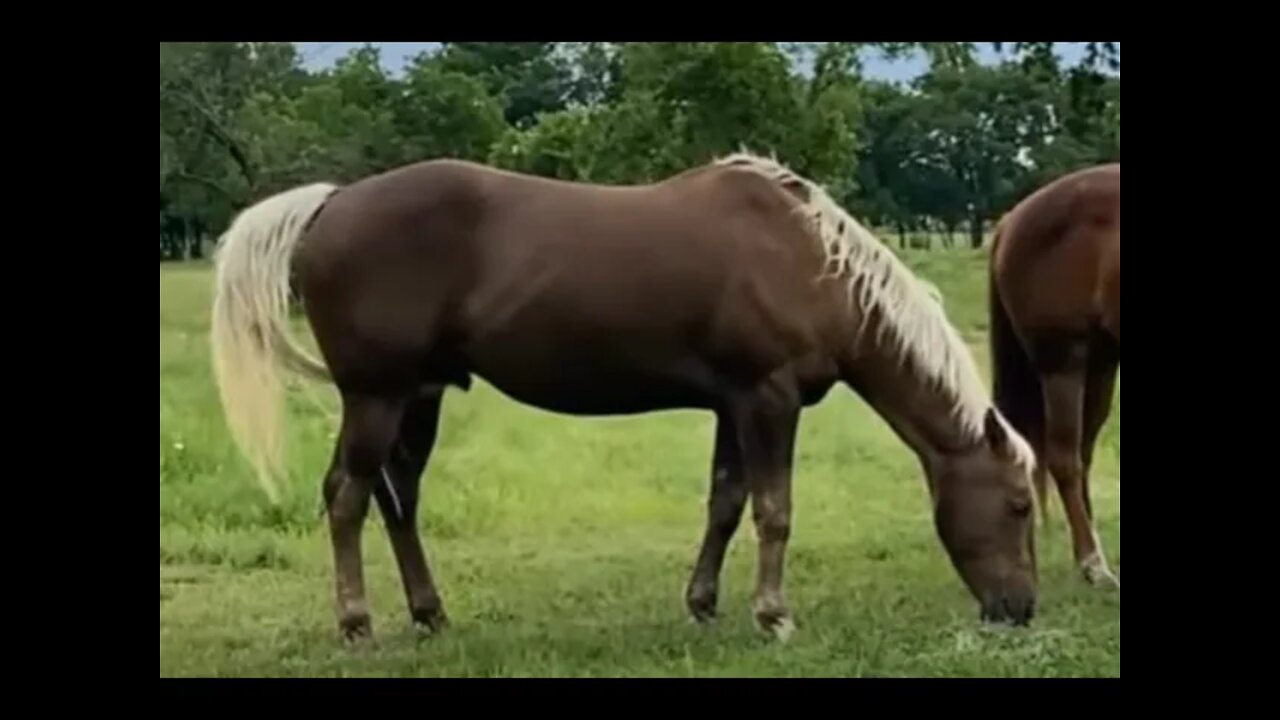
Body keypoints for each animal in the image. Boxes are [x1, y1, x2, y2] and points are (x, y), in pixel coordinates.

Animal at [209, 149, 1044, 638]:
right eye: (1017, 504)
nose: (1021, 609)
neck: (806, 260)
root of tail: (332, 202)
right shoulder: (768, 400)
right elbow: (773, 511)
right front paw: (773, 616)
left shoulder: (733, 406)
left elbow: (726, 503)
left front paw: (704, 605)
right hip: (375, 395)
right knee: (346, 497)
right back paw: (357, 622)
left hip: (418, 395)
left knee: (398, 498)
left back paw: (430, 613)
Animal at [988, 163, 1121, 589]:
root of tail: (1012, 220)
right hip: (1063, 361)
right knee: (1064, 459)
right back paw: (1093, 563)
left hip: (1100, 362)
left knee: (1082, 454)